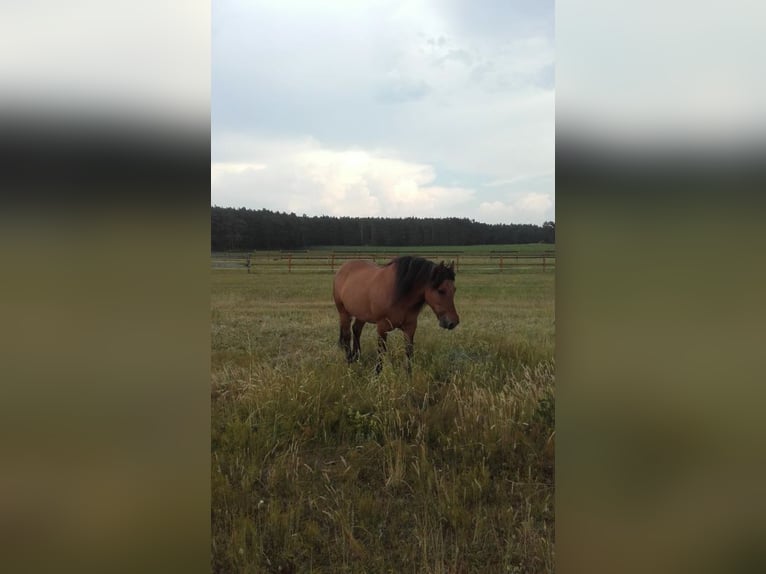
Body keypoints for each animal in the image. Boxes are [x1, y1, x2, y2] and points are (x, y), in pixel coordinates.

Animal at [332, 255, 462, 374]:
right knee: (347, 335)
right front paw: (376, 374)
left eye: (454, 289)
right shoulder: (382, 327)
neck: (398, 294)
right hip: (343, 312)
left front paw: (409, 375)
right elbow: (381, 351)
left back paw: (357, 357)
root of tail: (343, 268)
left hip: (361, 315)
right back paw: (349, 361)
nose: (453, 322)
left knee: (356, 330)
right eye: (441, 290)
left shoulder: (410, 327)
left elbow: (409, 352)